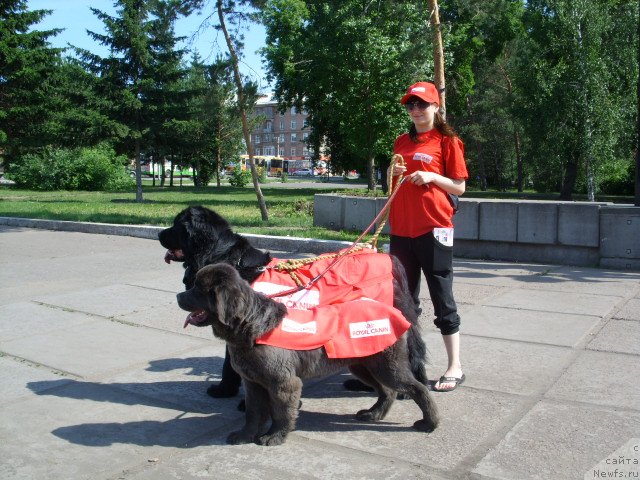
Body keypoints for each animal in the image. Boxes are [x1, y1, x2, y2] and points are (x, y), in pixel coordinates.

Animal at [179, 262, 440, 446]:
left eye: (198, 289)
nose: (178, 296)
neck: (252, 326)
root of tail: (394, 311)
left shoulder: (284, 383)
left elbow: (281, 413)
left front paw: (274, 437)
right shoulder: (253, 383)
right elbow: (253, 413)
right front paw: (245, 436)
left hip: (387, 366)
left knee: (418, 389)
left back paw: (429, 423)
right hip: (364, 365)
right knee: (387, 391)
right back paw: (373, 414)